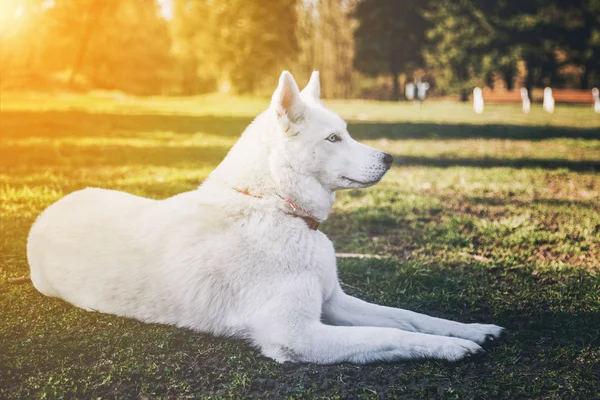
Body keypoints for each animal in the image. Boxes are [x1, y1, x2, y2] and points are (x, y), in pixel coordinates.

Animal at [29, 70, 506, 364]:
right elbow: (390, 336)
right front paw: (448, 349)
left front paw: (469, 330)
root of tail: (48, 212)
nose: (389, 158)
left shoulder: (334, 303)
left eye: (346, 132)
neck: (277, 207)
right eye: (333, 138)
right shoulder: (297, 334)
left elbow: (408, 316)